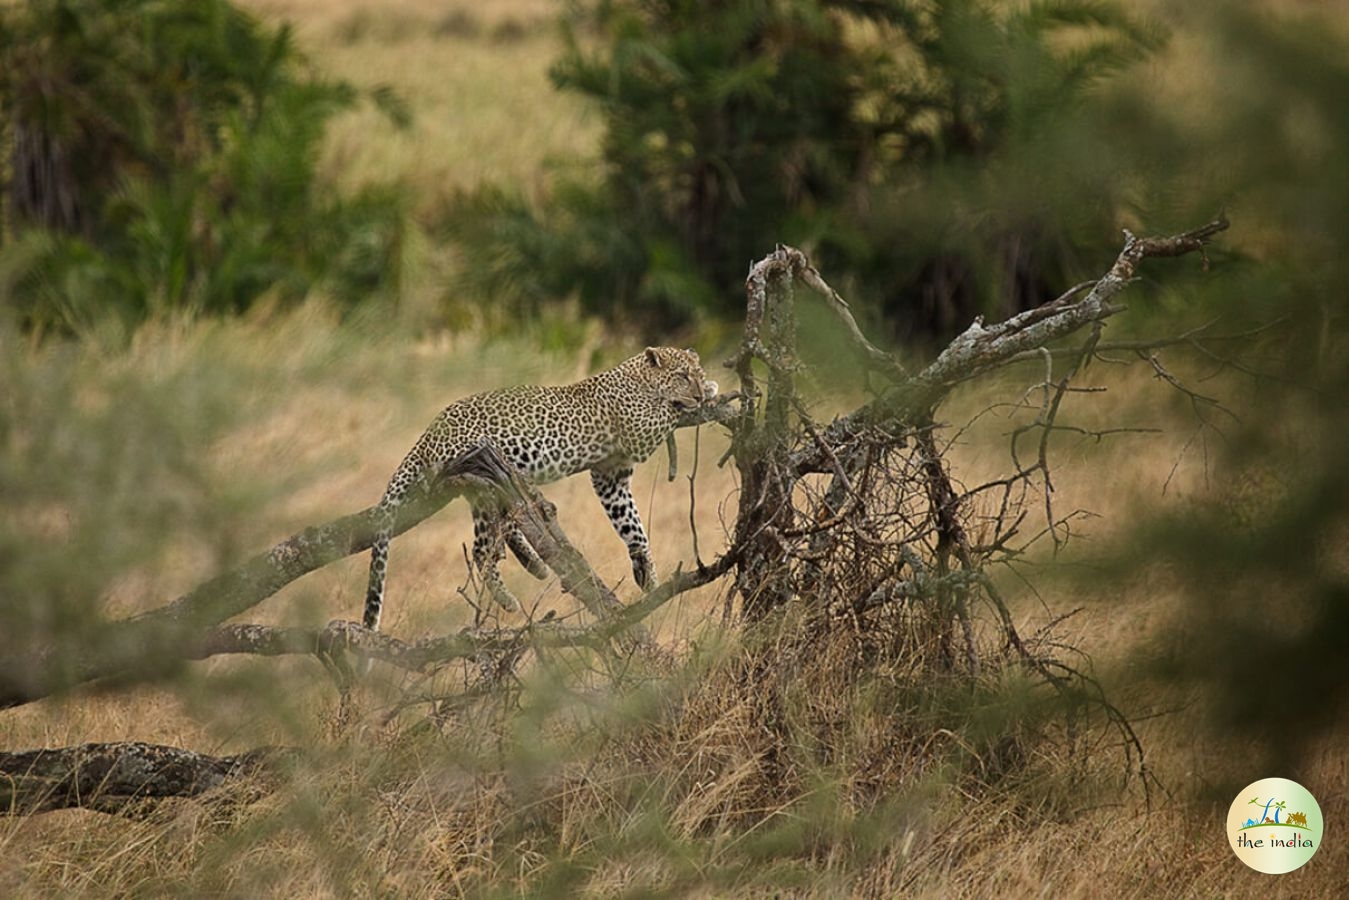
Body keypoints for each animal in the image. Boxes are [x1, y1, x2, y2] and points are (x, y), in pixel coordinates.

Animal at [358, 348, 717, 631]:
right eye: (683, 376)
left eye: (696, 373)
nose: (699, 392)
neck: (637, 376)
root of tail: (427, 435)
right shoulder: (639, 431)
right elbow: (667, 410)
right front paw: (709, 392)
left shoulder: (610, 478)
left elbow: (632, 525)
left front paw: (647, 572)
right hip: (482, 470)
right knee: (482, 548)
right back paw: (510, 597)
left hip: (484, 484)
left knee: (502, 528)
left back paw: (534, 564)